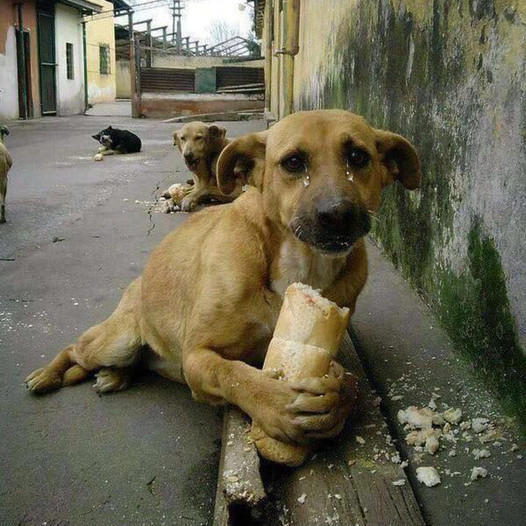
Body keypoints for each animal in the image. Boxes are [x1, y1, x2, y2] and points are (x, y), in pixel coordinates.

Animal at [24, 109, 422, 452]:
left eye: (358, 156)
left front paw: (336, 403)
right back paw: (46, 376)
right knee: (74, 348)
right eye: (293, 162)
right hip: (115, 340)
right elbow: (233, 374)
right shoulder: (197, 356)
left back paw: (114, 376)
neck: (298, 264)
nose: (338, 214)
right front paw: (276, 404)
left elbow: (347, 383)